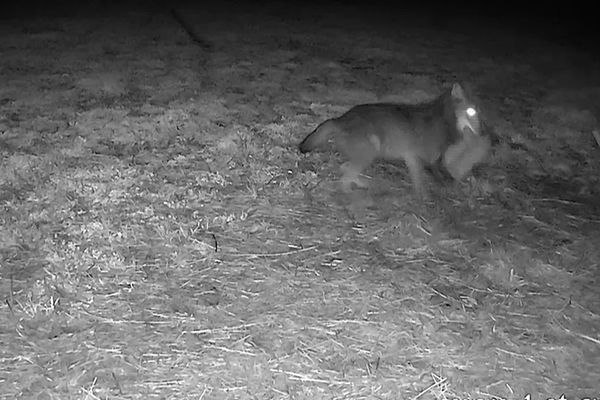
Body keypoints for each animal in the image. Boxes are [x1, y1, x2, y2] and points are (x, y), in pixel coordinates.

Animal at [298, 83, 490, 197]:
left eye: (480, 113)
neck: (443, 121)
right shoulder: (415, 158)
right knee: (344, 178)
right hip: (369, 153)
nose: (484, 132)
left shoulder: (416, 159)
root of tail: (339, 119)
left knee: (345, 169)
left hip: (368, 155)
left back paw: (367, 184)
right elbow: (421, 185)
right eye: (471, 112)